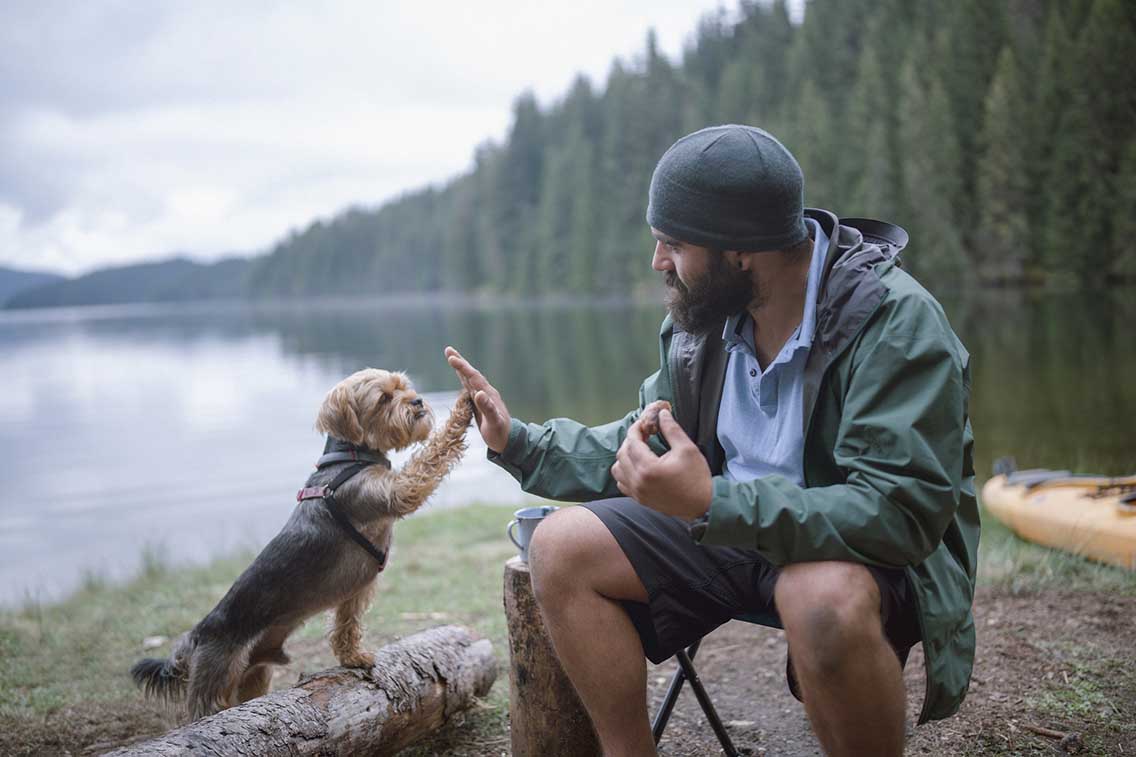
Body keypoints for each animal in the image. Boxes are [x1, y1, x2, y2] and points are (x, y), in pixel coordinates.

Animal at [131, 368, 474, 718]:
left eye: (404, 387)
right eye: (383, 398)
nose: (417, 401)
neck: (351, 458)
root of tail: (196, 635)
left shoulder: (354, 592)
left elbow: (347, 624)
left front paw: (353, 657)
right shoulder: (396, 491)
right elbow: (430, 457)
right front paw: (464, 406)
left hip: (254, 675)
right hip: (216, 679)